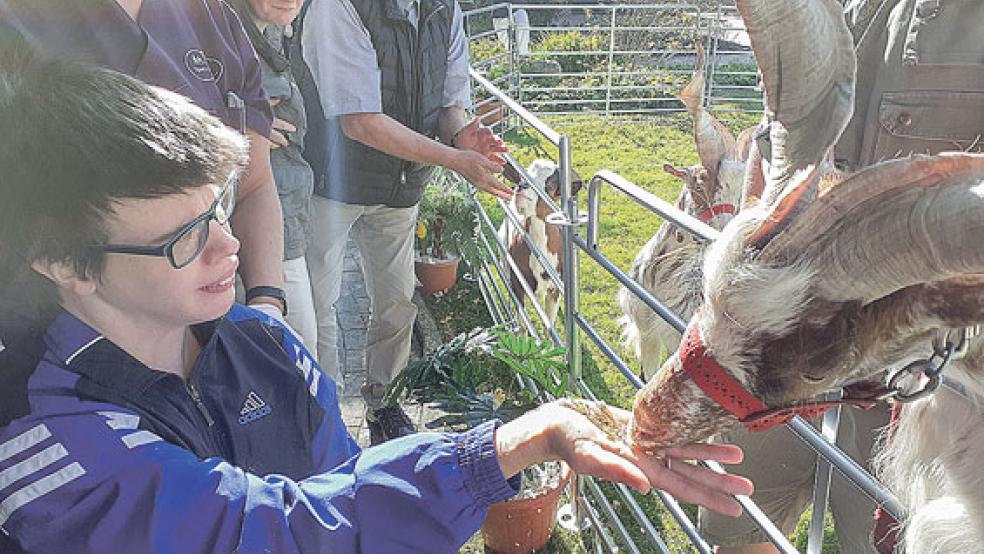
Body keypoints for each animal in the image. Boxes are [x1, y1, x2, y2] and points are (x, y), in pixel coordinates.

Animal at [500, 157, 584, 326]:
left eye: (549, 185)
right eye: (521, 177)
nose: (521, 187)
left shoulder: (555, 290)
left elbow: (549, 323)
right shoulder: (518, 285)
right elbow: (524, 324)